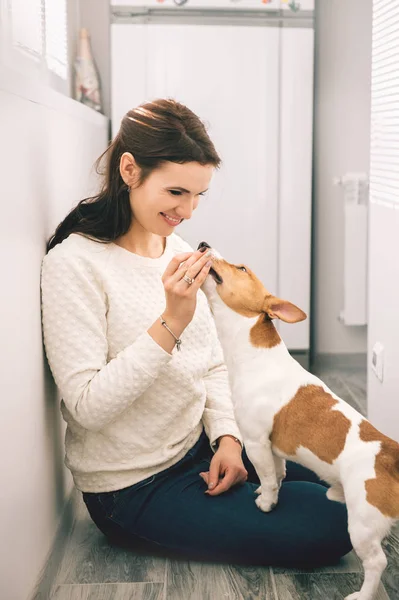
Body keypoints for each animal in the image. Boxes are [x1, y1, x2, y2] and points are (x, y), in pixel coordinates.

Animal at [199, 240, 399, 600]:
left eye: (242, 268)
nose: (204, 244)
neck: (253, 354)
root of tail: (391, 456)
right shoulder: (273, 448)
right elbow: (277, 473)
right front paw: (272, 489)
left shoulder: (255, 442)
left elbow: (266, 478)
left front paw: (266, 503)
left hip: (362, 524)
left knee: (376, 562)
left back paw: (362, 594)